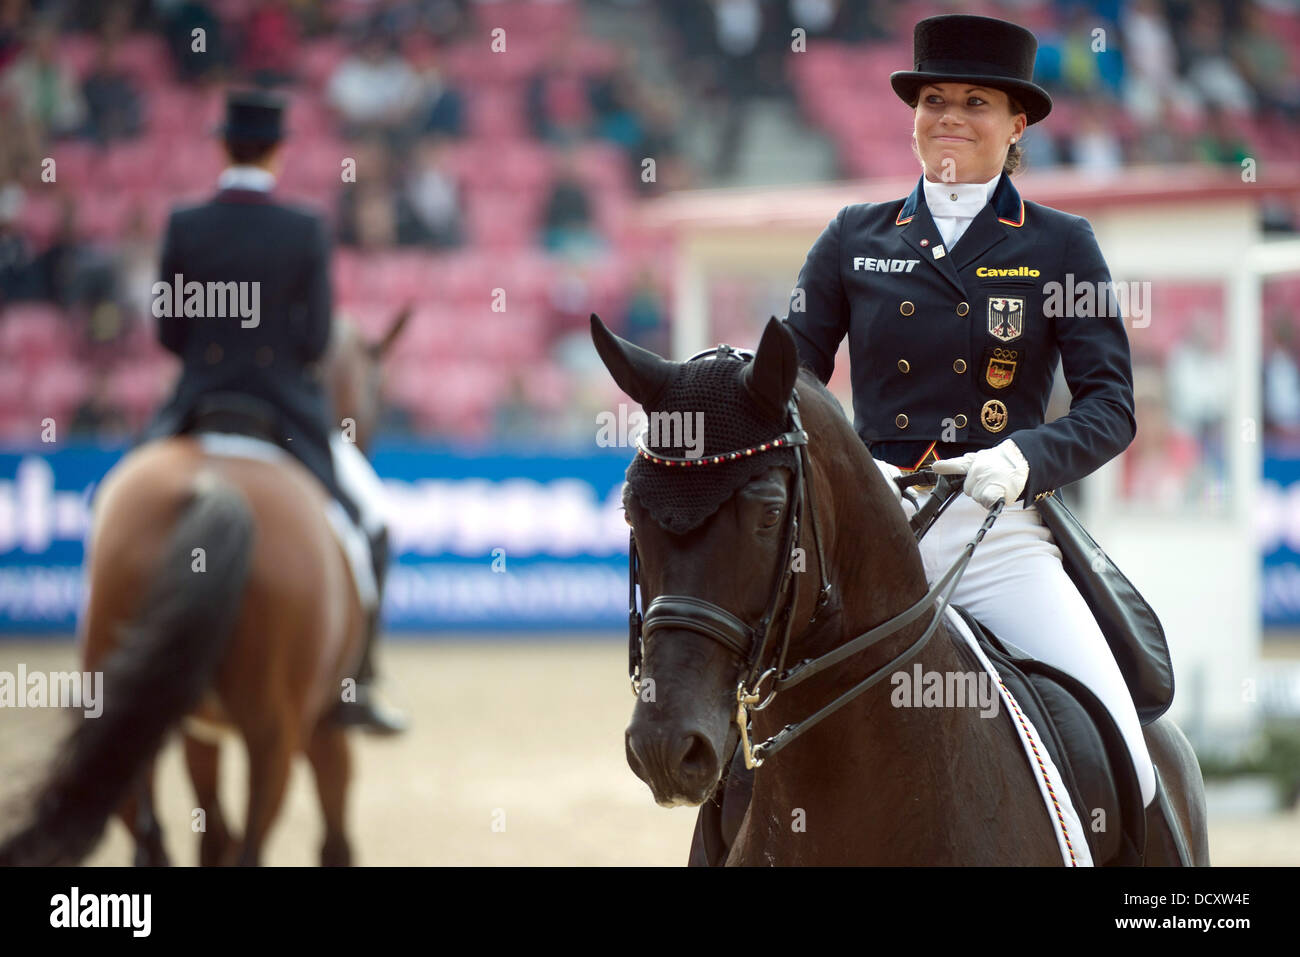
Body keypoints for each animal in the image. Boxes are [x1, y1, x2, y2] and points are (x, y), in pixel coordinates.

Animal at [0, 312, 410, 868]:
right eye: (377, 387)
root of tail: (213, 487)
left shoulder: (200, 732)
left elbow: (213, 834)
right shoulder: (323, 729)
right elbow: (333, 841)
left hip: (131, 715)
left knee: (151, 833)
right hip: (273, 737)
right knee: (250, 845)